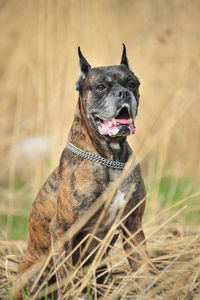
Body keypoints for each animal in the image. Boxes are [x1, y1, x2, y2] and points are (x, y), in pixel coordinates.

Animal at [14, 44, 147, 298]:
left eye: (132, 84)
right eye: (101, 87)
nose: (123, 93)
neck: (110, 159)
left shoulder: (133, 226)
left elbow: (142, 266)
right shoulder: (62, 231)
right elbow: (67, 277)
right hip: (37, 270)